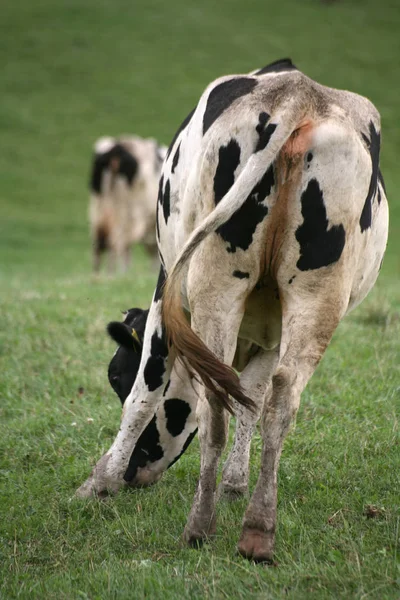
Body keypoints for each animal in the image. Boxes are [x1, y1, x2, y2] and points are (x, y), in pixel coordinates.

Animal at [89, 135, 167, 274]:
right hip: (126, 215)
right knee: (118, 244)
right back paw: (120, 274)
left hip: (98, 214)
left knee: (99, 248)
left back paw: (99, 276)